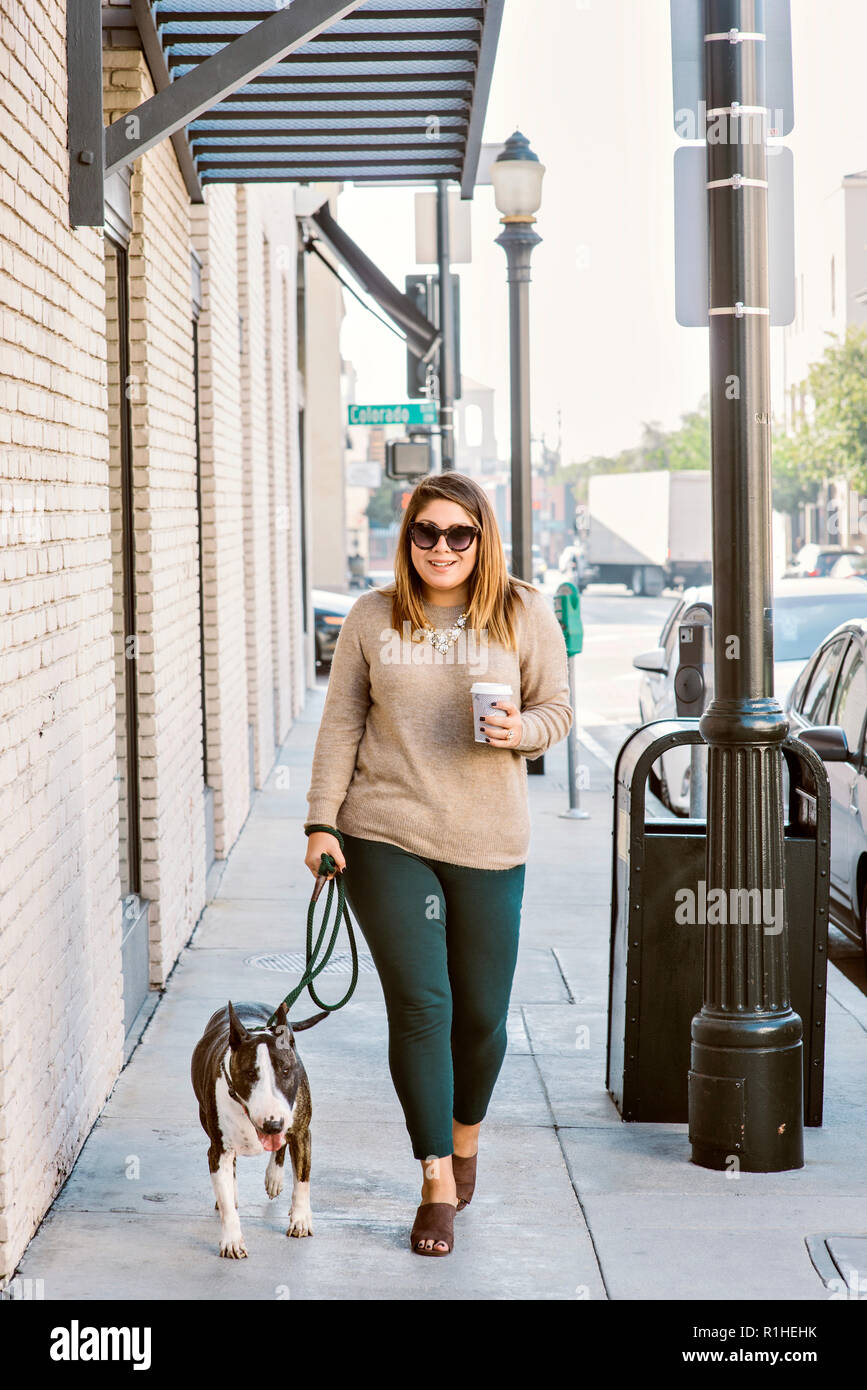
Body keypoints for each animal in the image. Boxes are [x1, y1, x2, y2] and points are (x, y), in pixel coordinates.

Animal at [191, 1000, 323, 1262]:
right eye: (250, 1073)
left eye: (285, 1070)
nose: (273, 1124)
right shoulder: (218, 1149)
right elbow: (227, 1201)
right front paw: (232, 1241)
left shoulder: (301, 1132)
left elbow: (302, 1180)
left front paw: (301, 1220)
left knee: (282, 1148)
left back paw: (274, 1177)